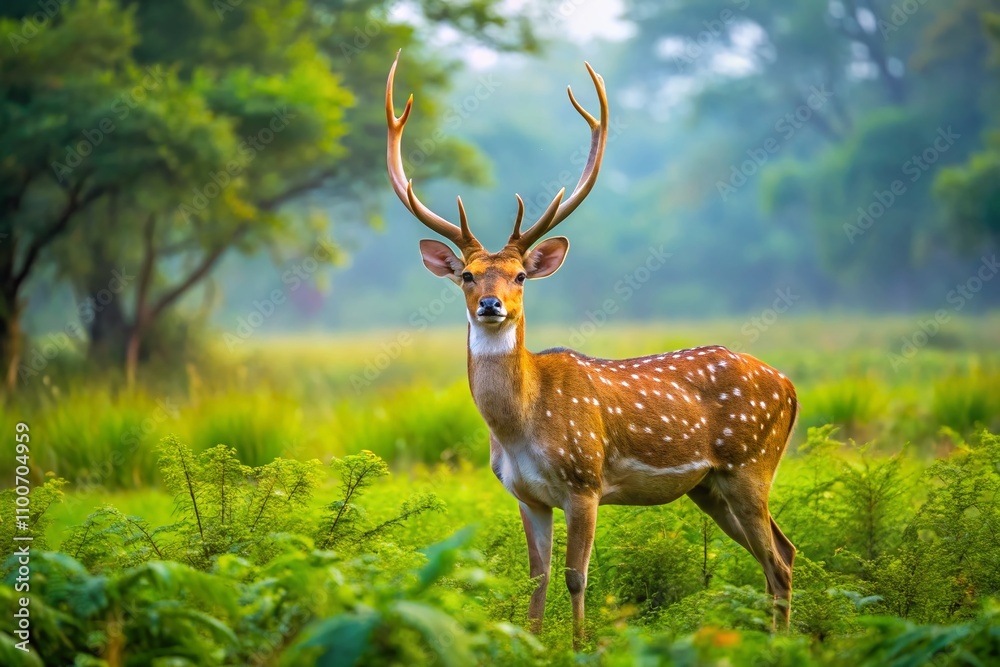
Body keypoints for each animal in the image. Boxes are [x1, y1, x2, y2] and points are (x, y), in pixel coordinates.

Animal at [386, 51, 799, 647]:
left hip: (752, 463)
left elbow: (576, 576)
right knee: (783, 552)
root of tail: (789, 386)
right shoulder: (525, 495)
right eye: (466, 275)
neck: (521, 425)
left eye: (520, 276)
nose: (491, 304)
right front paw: (532, 644)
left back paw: (780, 642)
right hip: (710, 485)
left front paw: (580, 647)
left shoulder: (585, 481)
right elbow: (535, 578)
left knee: (778, 561)